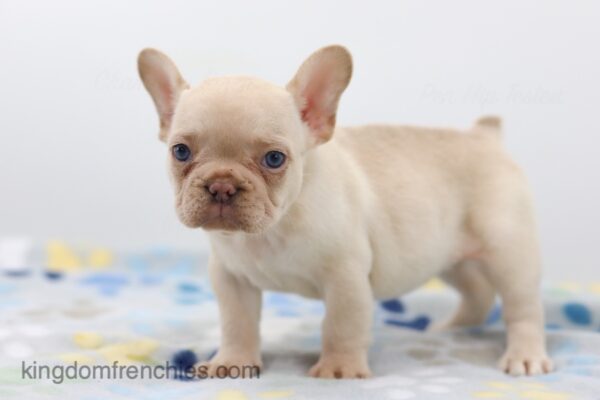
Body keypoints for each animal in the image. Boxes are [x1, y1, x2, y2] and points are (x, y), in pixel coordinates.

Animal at [138, 46, 552, 378]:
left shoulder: (345, 278)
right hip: (450, 256)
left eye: (274, 159)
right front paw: (232, 363)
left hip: (508, 252)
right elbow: (237, 323)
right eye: (180, 152)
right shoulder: (231, 280)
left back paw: (525, 356)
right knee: (478, 292)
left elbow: (341, 325)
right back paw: (449, 329)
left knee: (522, 307)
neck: (274, 229)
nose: (221, 185)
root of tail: (484, 135)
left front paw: (340, 369)